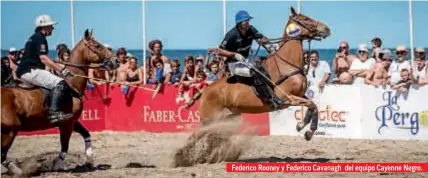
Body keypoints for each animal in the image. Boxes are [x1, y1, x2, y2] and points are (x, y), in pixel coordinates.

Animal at [1, 29, 120, 175]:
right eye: (98, 46)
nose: (116, 61)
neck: (71, 84)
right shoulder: (66, 123)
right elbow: (64, 147)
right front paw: (56, 166)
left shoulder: (72, 121)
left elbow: (86, 134)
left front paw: (89, 161)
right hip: (10, 130)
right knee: (2, 154)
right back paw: (20, 171)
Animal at [197, 6, 332, 140]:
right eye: (305, 18)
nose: (327, 29)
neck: (287, 64)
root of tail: (205, 91)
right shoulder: (287, 98)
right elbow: (311, 104)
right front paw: (303, 126)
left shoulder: (300, 95)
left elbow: (314, 106)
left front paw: (306, 128)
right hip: (209, 119)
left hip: (231, 118)